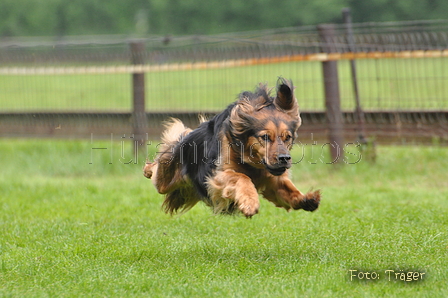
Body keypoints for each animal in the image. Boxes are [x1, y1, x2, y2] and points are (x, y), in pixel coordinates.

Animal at [145, 78, 320, 218]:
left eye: (287, 137)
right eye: (264, 137)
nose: (284, 159)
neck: (251, 161)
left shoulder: (273, 179)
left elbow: (287, 188)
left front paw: (306, 199)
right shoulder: (218, 175)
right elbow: (242, 177)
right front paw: (250, 203)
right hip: (166, 180)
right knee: (160, 162)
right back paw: (148, 169)